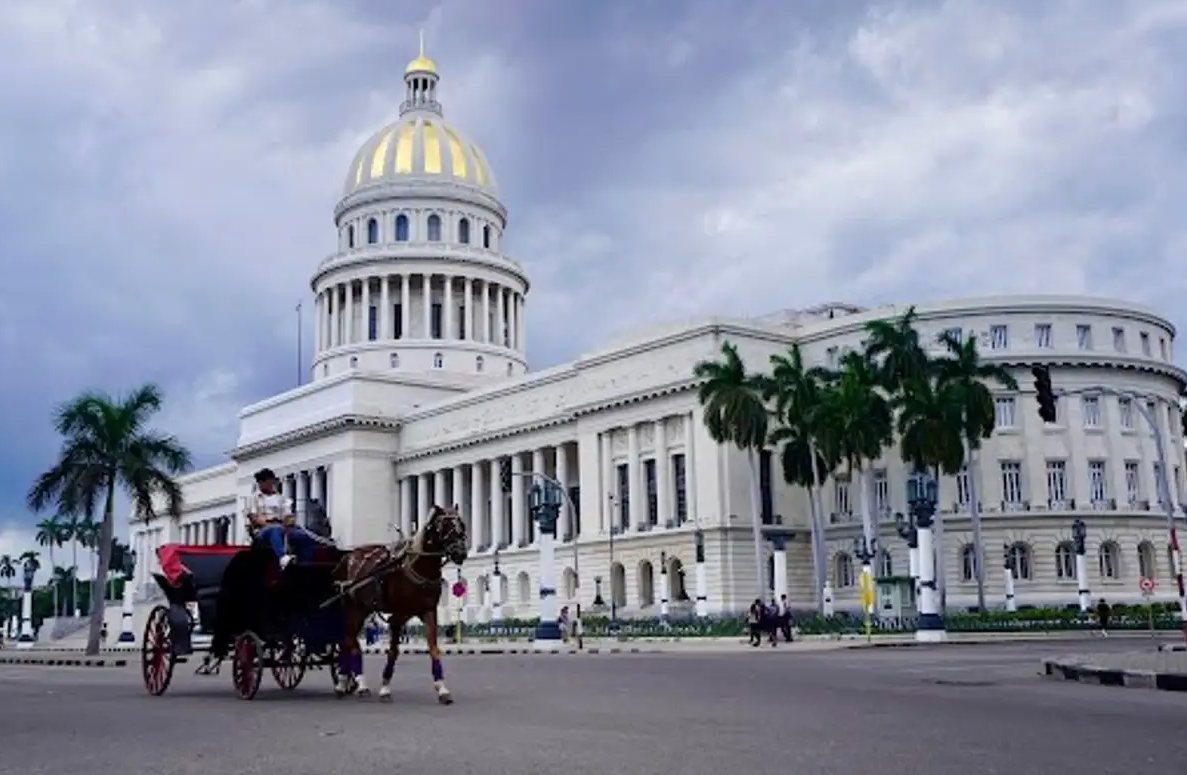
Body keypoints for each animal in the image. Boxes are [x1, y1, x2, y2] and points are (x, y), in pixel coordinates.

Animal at [332, 503, 468, 703]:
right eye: (443, 526)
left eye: (462, 525)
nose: (461, 553)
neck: (418, 568)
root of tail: (349, 555)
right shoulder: (398, 616)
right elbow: (393, 651)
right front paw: (385, 687)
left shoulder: (429, 611)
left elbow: (433, 648)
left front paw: (442, 688)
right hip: (354, 609)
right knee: (349, 641)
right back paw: (354, 683)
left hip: (362, 609)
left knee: (348, 642)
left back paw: (347, 681)